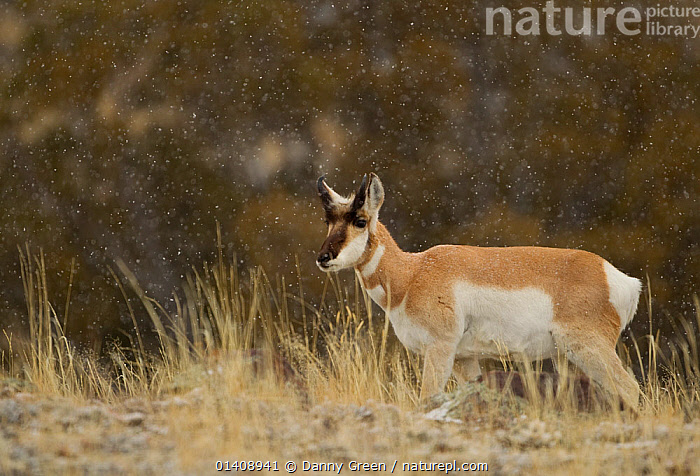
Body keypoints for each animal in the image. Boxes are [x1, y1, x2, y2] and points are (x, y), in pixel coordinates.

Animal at [316, 173, 641, 409]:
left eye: (360, 221)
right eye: (328, 221)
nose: (323, 258)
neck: (412, 273)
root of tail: (614, 276)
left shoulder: (440, 349)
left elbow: (427, 398)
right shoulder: (464, 359)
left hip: (589, 348)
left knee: (629, 388)